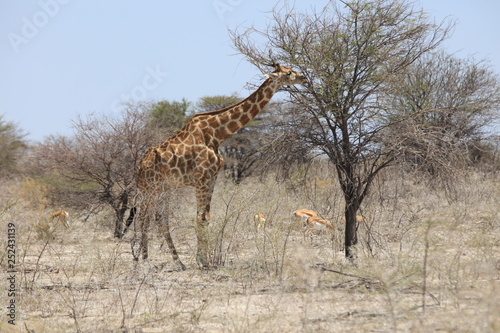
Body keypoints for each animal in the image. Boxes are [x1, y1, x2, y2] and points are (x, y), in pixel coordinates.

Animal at [135, 63, 306, 268]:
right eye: (288, 73)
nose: (304, 77)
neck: (217, 133)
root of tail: (138, 168)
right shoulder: (202, 178)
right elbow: (201, 218)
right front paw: (202, 261)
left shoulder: (212, 178)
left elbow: (206, 218)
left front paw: (205, 260)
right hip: (149, 188)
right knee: (143, 217)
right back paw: (144, 260)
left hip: (164, 188)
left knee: (158, 218)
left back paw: (176, 262)